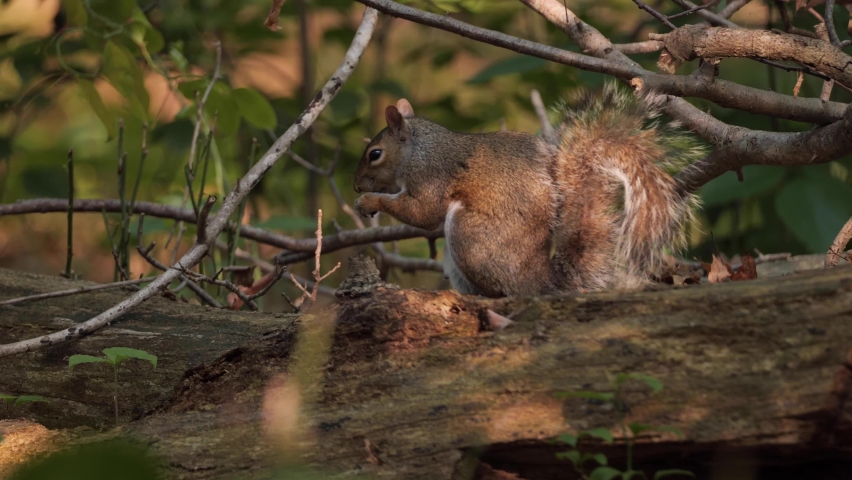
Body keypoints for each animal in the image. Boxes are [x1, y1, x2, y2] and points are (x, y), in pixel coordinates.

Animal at [353, 83, 704, 298]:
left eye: (375, 154)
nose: (355, 185)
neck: (417, 148)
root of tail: (540, 281)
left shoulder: (430, 176)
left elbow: (423, 213)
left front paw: (369, 201)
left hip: (468, 234)